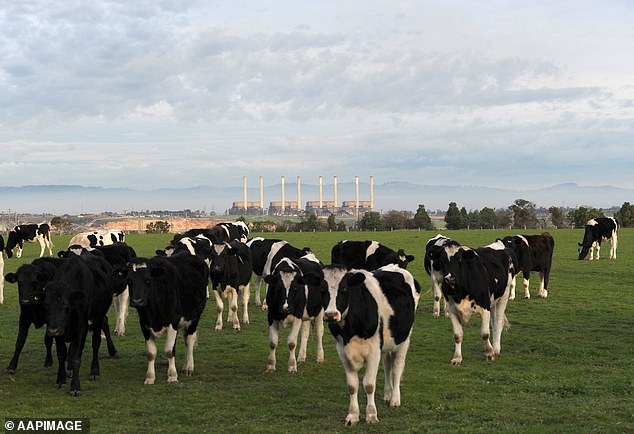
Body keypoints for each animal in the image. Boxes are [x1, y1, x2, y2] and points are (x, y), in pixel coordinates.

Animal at [43, 249, 118, 396]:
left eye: (66, 306)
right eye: (46, 306)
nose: (52, 331)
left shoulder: (82, 327)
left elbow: (77, 356)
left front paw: (75, 387)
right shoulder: (61, 330)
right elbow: (61, 354)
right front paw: (60, 379)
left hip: (98, 316)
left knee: (96, 343)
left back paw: (94, 371)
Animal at [125, 253, 207, 384]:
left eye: (148, 280)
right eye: (129, 280)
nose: (137, 301)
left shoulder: (173, 322)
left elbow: (169, 350)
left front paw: (172, 375)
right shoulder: (144, 324)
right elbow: (151, 353)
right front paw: (150, 377)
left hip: (195, 316)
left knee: (189, 340)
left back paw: (189, 367)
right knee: (185, 340)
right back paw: (185, 366)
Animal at [320, 262, 420, 426]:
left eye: (344, 289)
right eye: (322, 289)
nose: (330, 315)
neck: (350, 331)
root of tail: (395, 266)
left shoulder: (374, 350)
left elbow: (369, 384)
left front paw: (372, 415)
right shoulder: (342, 351)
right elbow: (352, 386)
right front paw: (352, 416)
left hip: (404, 339)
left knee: (397, 368)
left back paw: (395, 398)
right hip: (387, 343)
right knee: (388, 366)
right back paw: (387, 393)